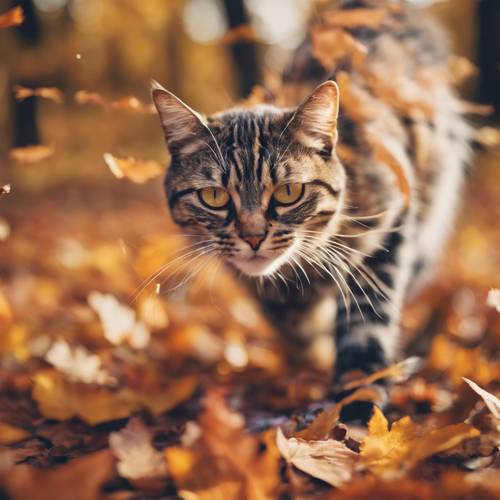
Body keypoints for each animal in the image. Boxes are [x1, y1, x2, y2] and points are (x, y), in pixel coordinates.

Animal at [150, 0, 470, 398]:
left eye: (288, 192)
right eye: (214, 196)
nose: (253, 237)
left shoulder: (389, 228)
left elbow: (366, 321)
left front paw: (358, 392)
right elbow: (291, 322)